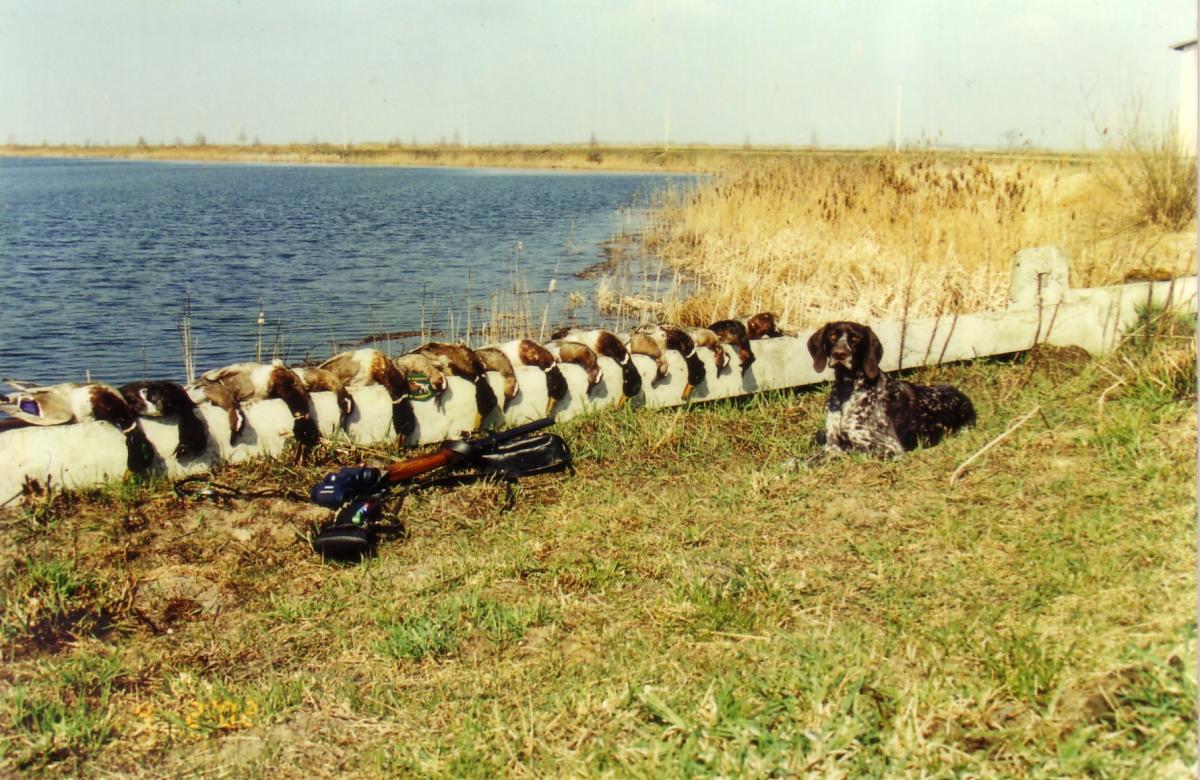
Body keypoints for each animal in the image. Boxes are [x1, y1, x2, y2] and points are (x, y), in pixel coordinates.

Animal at [806, 321, 975, 458]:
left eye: (855, 338)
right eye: (833, 336)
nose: (839, 354)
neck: (847, 388)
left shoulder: (889, 448)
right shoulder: (832, 443)